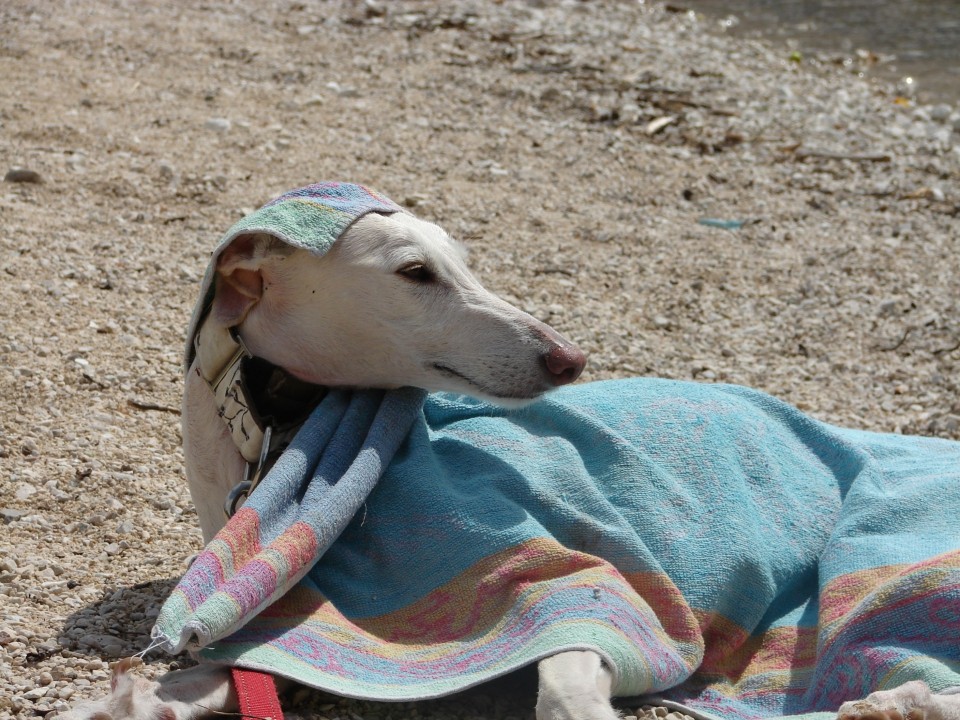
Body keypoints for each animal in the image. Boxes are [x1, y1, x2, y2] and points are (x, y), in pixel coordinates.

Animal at [63, 207, 956, 720]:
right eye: (414, 272)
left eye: (464, 261)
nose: (570, 358)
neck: (293, 428)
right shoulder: (299, 627)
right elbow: (192, 684)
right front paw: (124, 700)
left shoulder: (573, 584)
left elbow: (566, 685)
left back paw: (900, 700)